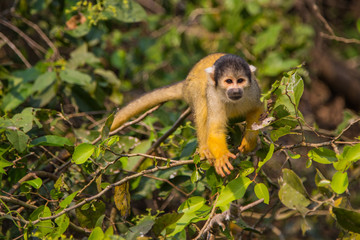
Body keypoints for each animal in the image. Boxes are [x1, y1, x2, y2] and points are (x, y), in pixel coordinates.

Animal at [111, 54, 262, 176]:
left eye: (240, 80)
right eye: (229, 81)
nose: (235, 90)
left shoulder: (253, 89)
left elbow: (257, 109)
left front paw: (249, 142)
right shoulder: (214, 96)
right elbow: (215, 129)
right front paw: (221, 157)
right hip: (192, 88)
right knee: (202, 105)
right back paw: (204, 149)